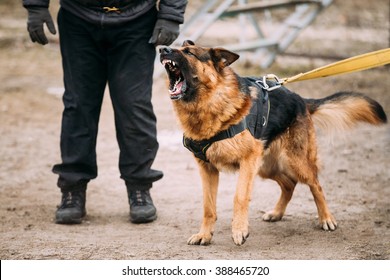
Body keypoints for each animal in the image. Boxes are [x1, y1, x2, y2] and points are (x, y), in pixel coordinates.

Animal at [158, 40, 386, 246]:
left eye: (189, 52)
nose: (162, 49)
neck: (211, 101)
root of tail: (302, 101)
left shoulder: (247, 161)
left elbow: (239, 197)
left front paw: (239, 230)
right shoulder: (207, 168)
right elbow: (208, 206)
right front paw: (205, 235)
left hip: (293, 161)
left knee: (315, 184)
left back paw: (326, 218)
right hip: (265, 167)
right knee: (289, 185)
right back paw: (277, 213)